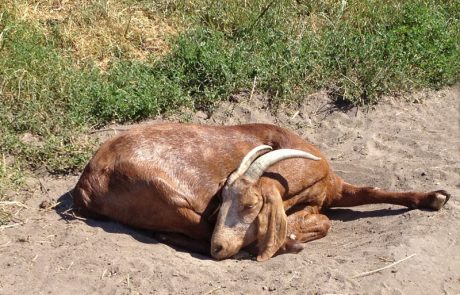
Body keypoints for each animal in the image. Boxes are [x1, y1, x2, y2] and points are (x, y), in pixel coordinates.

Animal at [73, 122, 452, 262]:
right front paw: (294, 234)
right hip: (169, 198)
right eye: (220, 202)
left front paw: (434, 197)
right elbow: (323, 222)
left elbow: (370, 190)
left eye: (251, 204)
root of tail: (86, 184)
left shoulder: (333, 188)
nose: (220, 248)